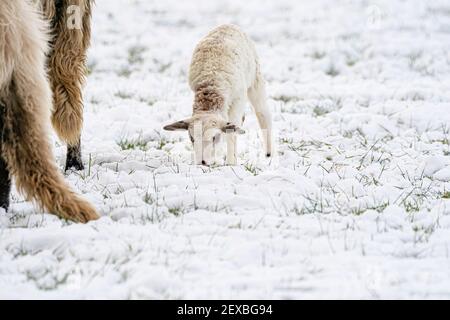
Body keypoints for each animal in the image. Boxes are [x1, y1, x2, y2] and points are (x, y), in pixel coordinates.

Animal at [164, 24, 272, 165]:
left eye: (214, 137)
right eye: (191, 138)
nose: (202, 162)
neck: (210, 90)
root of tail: (228, 25)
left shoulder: (238, 99)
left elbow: (232, 130)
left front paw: (231, 163)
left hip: (255, 79)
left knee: (263, 114)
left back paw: (269, 154)